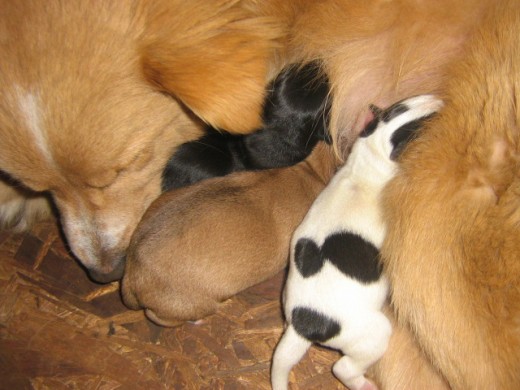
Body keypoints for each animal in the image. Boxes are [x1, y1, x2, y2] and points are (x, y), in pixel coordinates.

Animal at [270, 94, 444, 390]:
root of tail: (304, 324)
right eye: (424, 126)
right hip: (374, 334)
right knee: (344, 367)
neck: (368, 159)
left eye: (405, 104)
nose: (438, 99)